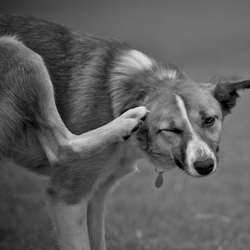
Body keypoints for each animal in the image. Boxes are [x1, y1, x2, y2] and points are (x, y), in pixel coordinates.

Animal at [1, 14, 250, 250]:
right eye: (170, 129)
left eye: (209, 120)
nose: (205, 166)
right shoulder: (66, 197)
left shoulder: (96, 197)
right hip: (18, 50)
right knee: (61, 148)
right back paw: (126, 121)